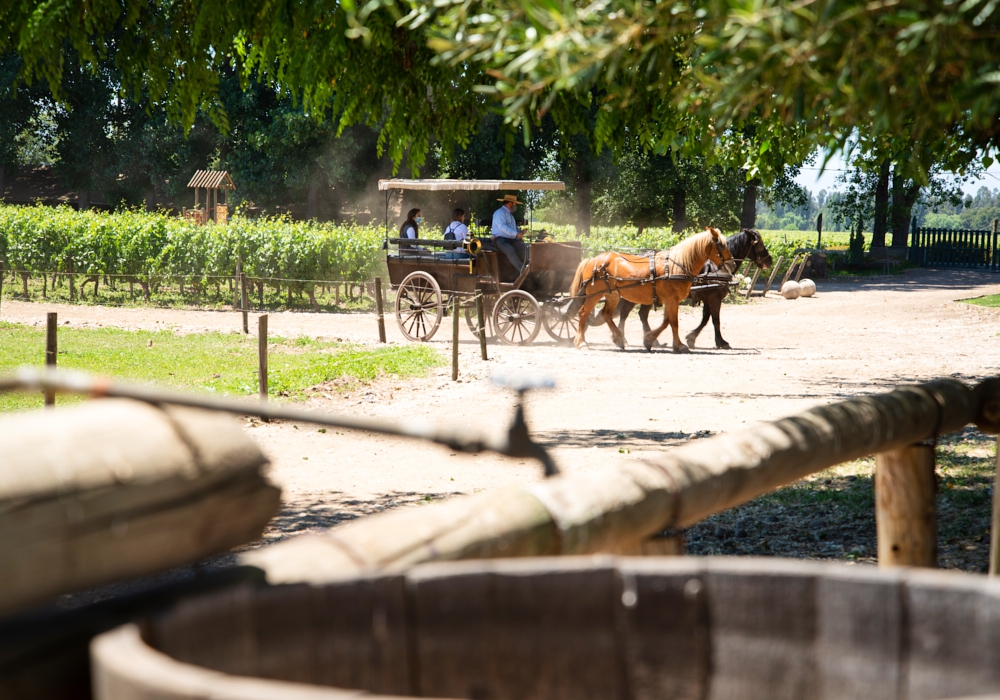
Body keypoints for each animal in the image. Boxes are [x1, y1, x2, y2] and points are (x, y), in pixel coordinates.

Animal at [572, 228, 736, 352]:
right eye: (721, 245)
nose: (732, 264)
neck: (677, 266)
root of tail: (593, 260)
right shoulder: (674, 299)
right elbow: (674, 322)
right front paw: (680, 345)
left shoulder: (671, 300)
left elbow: (667, 321)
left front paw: (650, 340)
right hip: (594, 295)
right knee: (583, 313)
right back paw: (581, 342)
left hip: (613, 295)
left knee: (606, 314)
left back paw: (619, 339)